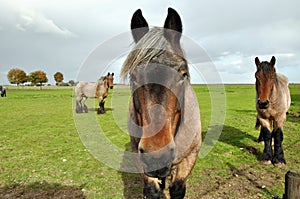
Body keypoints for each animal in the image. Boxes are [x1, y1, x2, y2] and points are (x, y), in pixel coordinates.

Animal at [120, 8, 202, 199]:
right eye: (133, 77)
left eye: (183, 74)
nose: (156, 155)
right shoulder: (139, 157)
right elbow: (152, 190)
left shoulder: (189, 159)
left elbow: (177, 188)